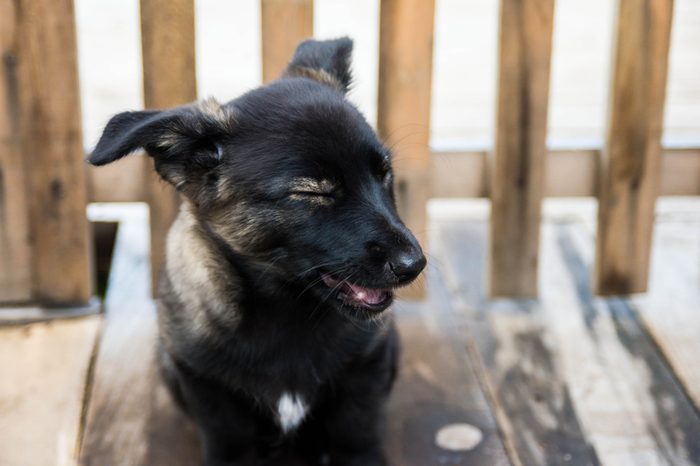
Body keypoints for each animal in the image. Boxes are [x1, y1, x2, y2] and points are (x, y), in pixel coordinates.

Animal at [87, 38, 426, 464]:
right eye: (314, 193)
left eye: (384, 175)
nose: (415, 265)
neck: (287, 315)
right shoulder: (210, 396)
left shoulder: (364, 378)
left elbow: (358, 442)